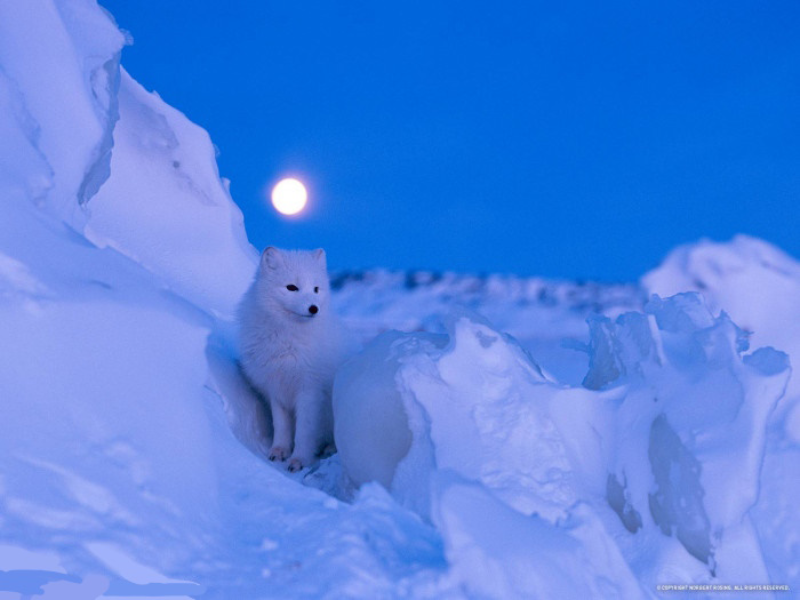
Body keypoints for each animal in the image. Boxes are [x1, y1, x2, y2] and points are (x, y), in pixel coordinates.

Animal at [237, 246, 345, 472]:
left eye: (316, 289)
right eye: (292, 287)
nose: (314, 308)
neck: (286, 341)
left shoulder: (310, 390)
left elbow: (305, 430)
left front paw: (299, 460)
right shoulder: (276, 389)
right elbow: (281, 425)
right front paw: (278, 451)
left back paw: (329, 448)